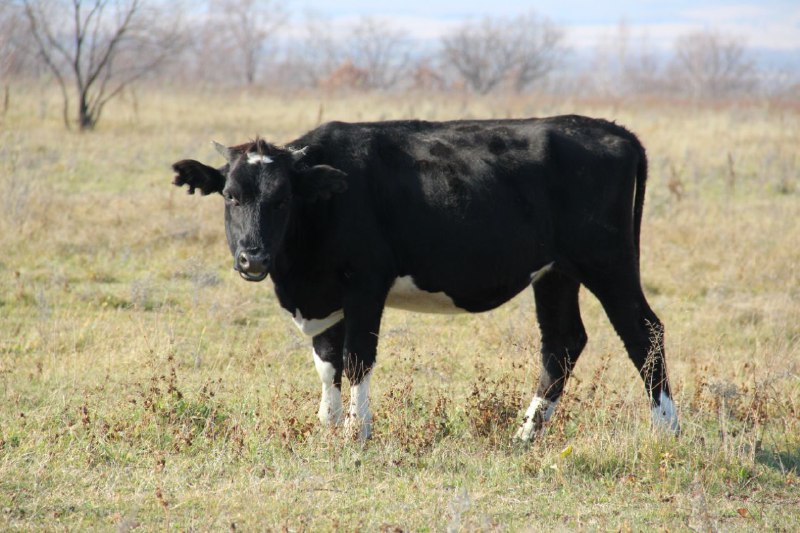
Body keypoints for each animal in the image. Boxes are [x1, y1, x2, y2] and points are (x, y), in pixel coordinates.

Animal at [172, 116, 680, 440]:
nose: (252, 258)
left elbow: (356, 359)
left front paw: (357, 432)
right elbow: (326, 361)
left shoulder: (365, 284)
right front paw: (327, 426)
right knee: (562, 343)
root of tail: (615, 131)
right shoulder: (322, 298)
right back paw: (525, 435)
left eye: (282, 199)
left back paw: (667, 429)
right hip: (556, 273)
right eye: (231, 196)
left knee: (644, 331)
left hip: (608, 263)